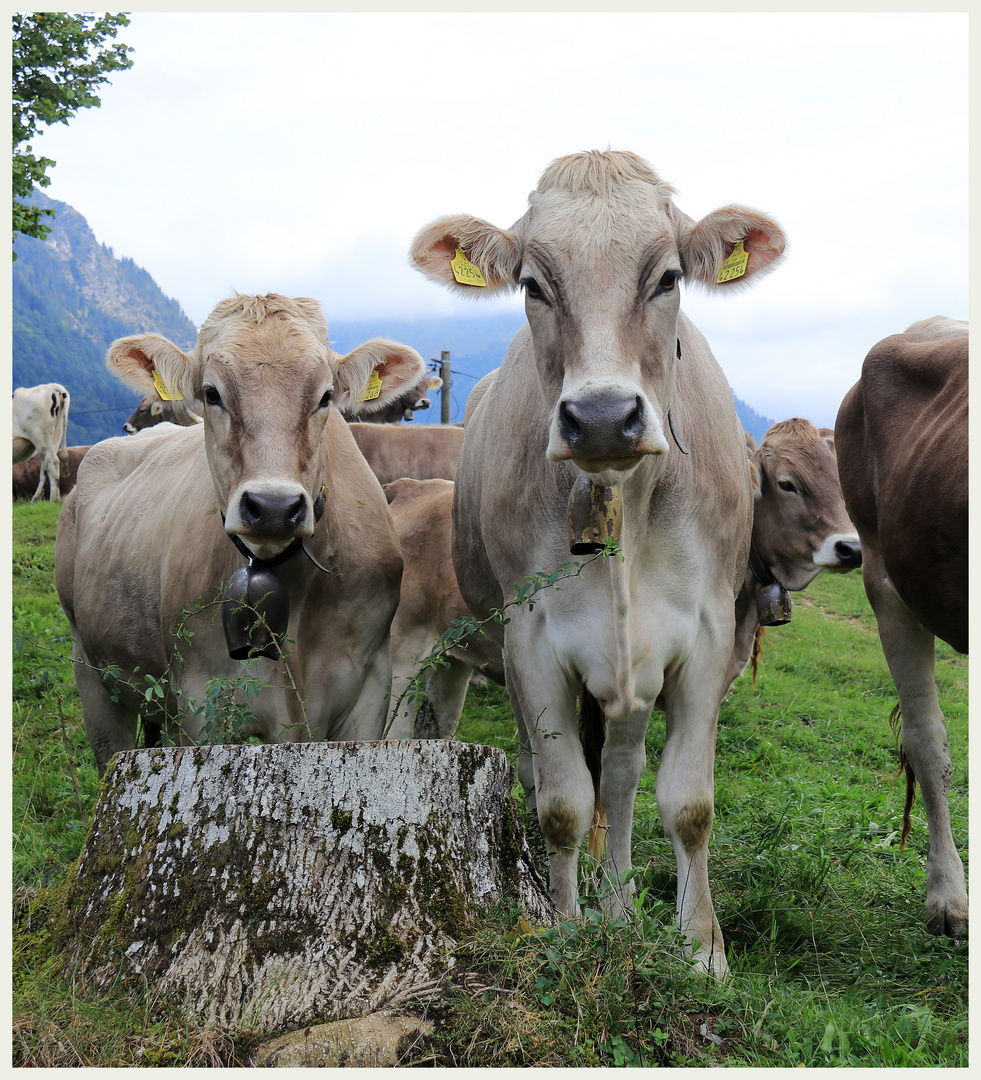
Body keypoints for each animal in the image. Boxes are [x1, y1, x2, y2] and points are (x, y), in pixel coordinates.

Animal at [56, 287, 425, 777]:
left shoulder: (368, 689)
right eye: (211, 393)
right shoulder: (201, 700)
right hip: (93, 674)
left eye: (326, 396)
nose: (273, 507)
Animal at [410, 147, 786, 976]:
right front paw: (563, 927)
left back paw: (618, 906)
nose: (604, 417)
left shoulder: (705, 635)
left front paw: (701, 947)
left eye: (667, 277)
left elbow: (685, 802)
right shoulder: (532, 641)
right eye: (532, 284)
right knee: (557, 776)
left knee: (619, 778)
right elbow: (561, 804)